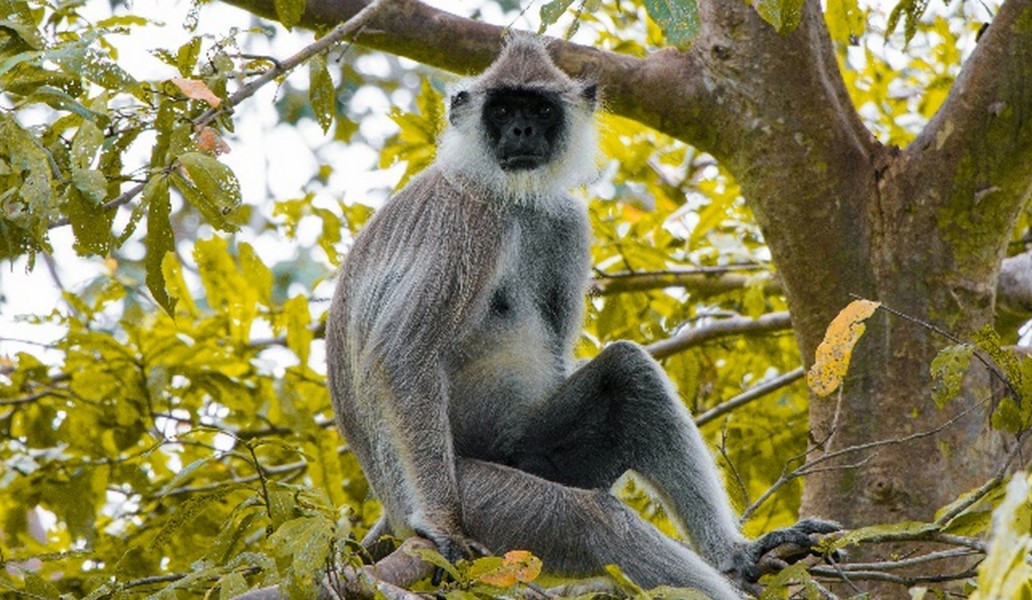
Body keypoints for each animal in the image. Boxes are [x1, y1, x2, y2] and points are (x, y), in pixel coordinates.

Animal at [326, 35, 833, 594]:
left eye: (540, 111)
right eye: (502, 110)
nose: (521, 131)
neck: (510, 200)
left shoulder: (566, 221)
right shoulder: (466, 218)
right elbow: (403, 352)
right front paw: (441, 527)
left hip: (528, 455)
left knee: (629, 374)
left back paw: (735, 554)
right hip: (477, 490)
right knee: (595, 520)